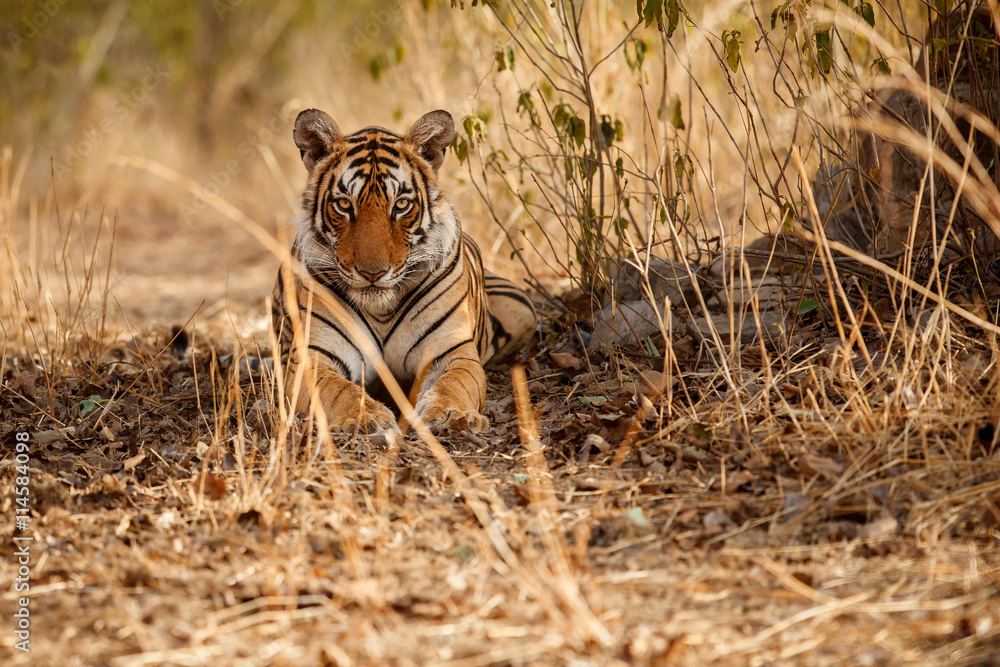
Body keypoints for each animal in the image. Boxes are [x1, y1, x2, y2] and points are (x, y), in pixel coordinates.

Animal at [271, 108, 537, 434]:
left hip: (522, 310)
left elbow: (455, 384)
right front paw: (368, 418)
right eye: (344, 204)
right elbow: (339, 391)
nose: (372, 273)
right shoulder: (312, 358)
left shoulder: (451, 352)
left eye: (401, 205)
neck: (381, 310)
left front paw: (452, 414)